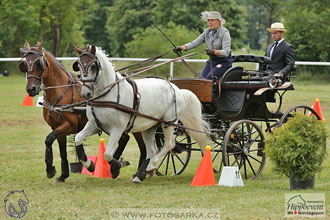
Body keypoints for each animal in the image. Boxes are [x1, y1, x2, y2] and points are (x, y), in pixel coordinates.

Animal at [19, 41, 146, 182]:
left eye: (39, 63)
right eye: (24, 64)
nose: (31, 89)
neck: (61, 92)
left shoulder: (69, 126)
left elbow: (49, 139)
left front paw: (51, 169)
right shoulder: (57, 127)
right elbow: (61, 151)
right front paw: (62, 175)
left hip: (136, 126)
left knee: (143, 148)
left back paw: (139, 173)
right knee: (125, 138)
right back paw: (116, 168)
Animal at [73, 44, 210, 182]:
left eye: (93, 66)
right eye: (78, 65)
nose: (86, 93)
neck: (108, 94)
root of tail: (177, 89)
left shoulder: (117, 129)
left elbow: (107, 154)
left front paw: (117, 166)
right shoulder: (94, 125)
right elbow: (77, 138)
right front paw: (89, 164)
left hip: (168, 122)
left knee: (169, 145)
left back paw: (149, 166)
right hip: (149, 127)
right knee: (152, 150)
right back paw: (141, 175)